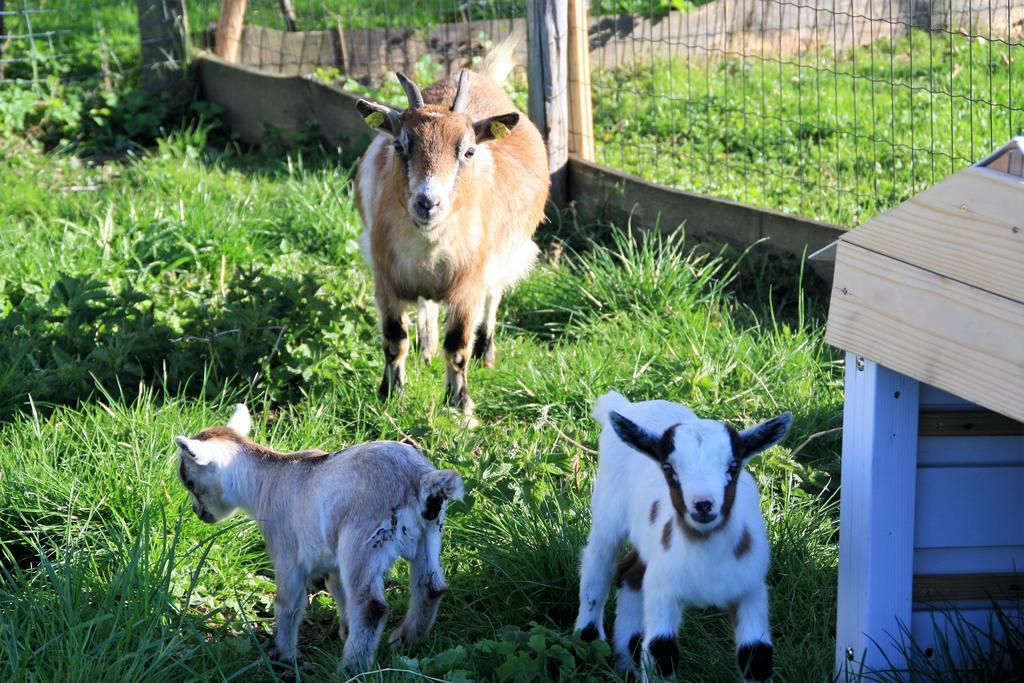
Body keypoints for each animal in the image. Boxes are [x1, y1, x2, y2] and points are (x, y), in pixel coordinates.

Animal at [354, 44, 548, 417]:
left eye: (468, 151)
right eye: (399, 146)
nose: (428, 203)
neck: (429, 245)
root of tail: (483, 77)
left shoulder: (469, 284)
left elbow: (457, 345)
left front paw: (460, 405)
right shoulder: (386, 280)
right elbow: (393, 340)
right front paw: (390, 394)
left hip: (504, 257)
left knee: (493, 297)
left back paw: (485, 352)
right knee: (426, 305)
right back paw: (426, 347)